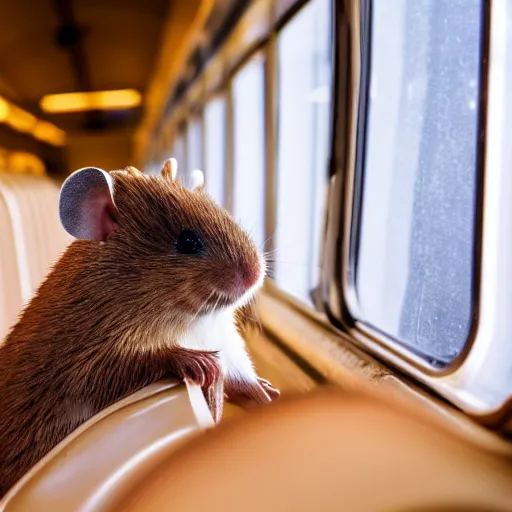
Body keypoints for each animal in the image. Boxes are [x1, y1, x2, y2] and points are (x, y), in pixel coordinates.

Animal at [0, 160, 278, 496]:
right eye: (188, 242)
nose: (256, 274)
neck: (188, 317)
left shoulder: (224, 340)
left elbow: (241, 373)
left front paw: (266, 393)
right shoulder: (87, 370)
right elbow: (155, 359)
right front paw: (201, 365)